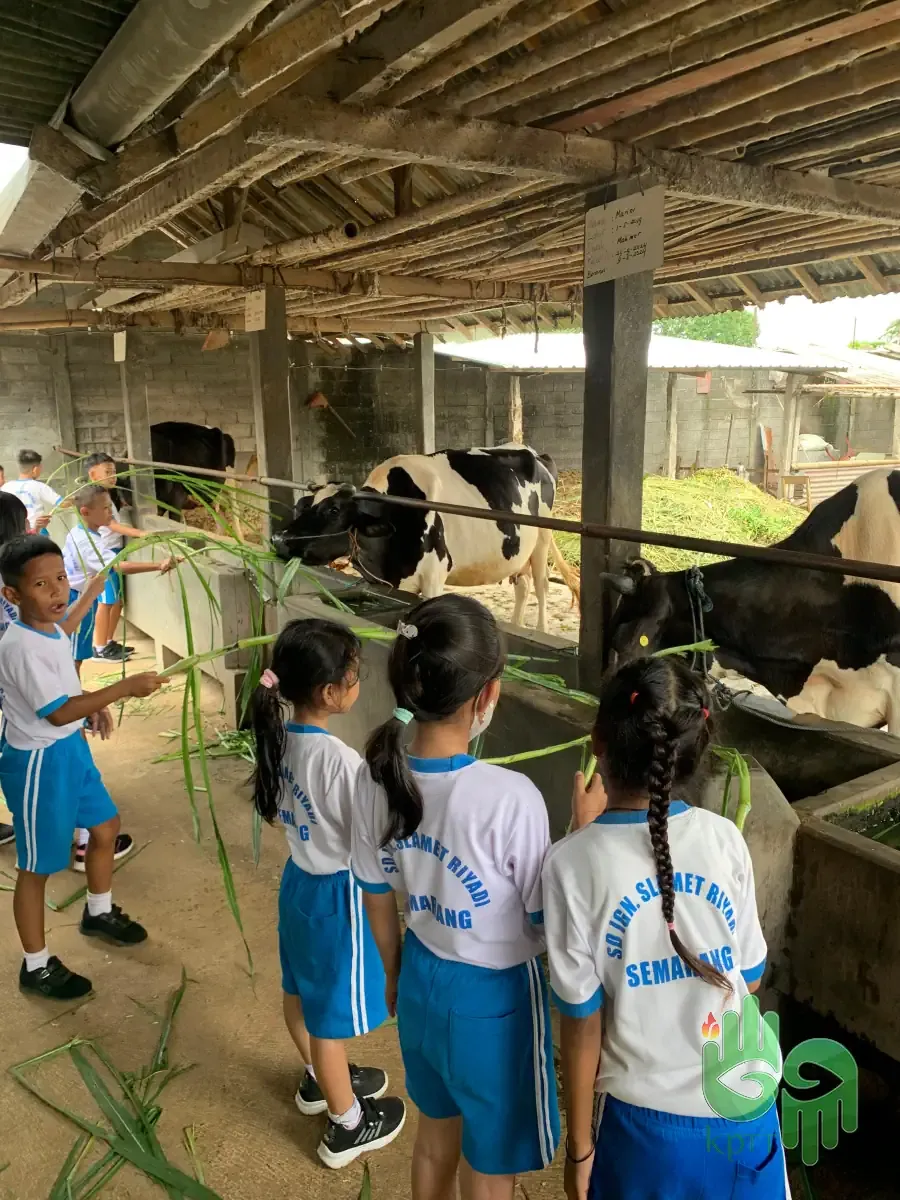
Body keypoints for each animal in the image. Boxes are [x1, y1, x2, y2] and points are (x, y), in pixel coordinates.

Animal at [272, 445, 579, 632]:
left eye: (334, 510)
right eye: (305, 506)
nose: (279, 538)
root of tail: (535, 453)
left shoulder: (434, 576)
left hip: (541, 538)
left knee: (541, 585)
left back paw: (540, 629)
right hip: (517, 552)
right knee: (522, 586)